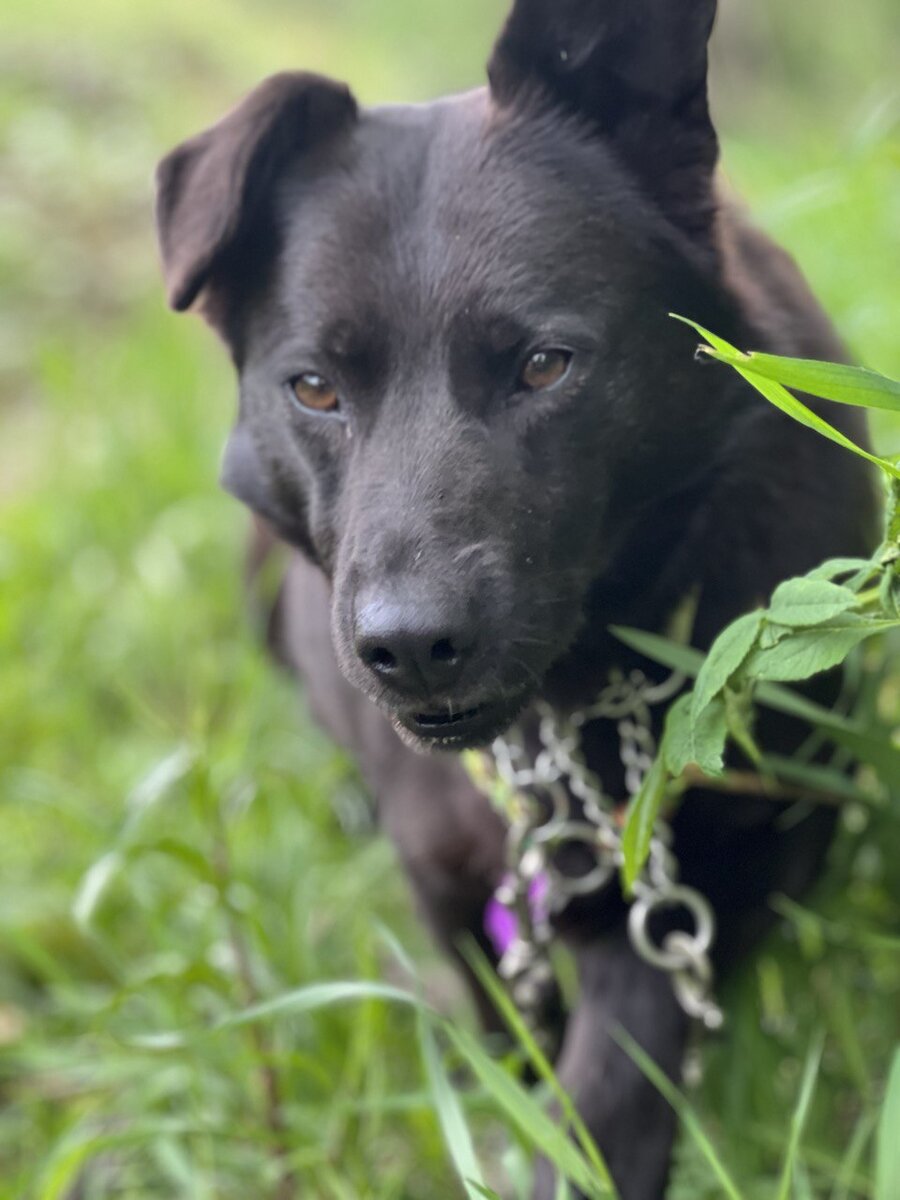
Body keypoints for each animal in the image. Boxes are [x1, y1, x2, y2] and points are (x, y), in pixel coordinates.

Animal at [157, 4, 883, 1195]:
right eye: (313, 388)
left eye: (545, 364)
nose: (409, 646)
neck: (566, 726)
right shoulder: (455, 884)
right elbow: (512, 1020)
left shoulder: (726, 860)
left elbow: (622, 1052)